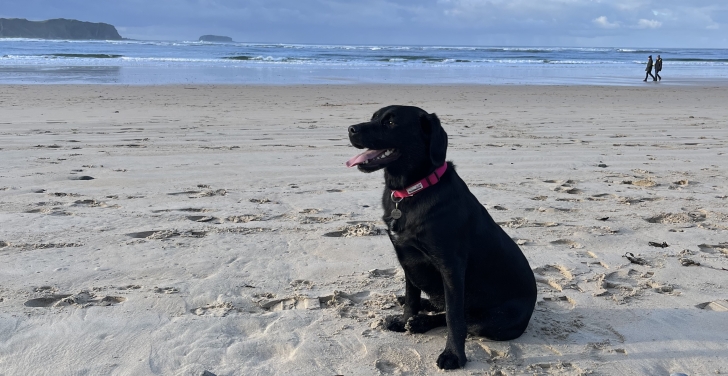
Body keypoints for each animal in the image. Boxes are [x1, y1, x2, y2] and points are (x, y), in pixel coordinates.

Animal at [344, 106, 536, 370]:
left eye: (391, 122)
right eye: (373, 117)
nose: (350, 128)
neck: (412, 191)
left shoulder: (451, 267)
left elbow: (455, 318)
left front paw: (453, 355)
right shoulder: (407, 258)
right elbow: (412, 295)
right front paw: (405, 319)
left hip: (496, 319)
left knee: (462, 317)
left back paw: (422, 322)